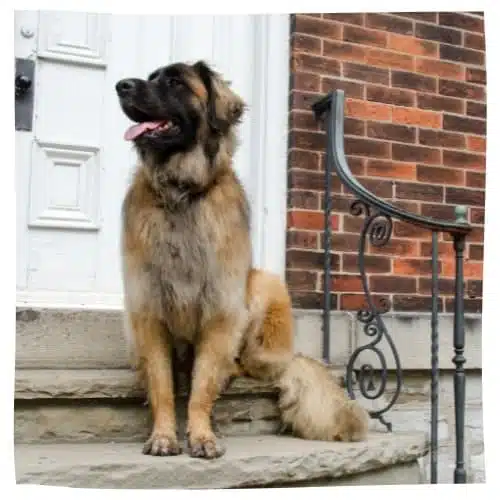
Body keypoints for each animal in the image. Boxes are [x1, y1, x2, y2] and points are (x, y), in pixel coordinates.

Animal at [115, 58, 370, 458]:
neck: (181, 192)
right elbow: (162, 385)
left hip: (263, 287)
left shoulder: (220, 312)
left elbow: (201, 387)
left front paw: (202, 436)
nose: (121, 86)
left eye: (175, 82)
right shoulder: (147, 311)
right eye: (151, 77)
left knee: (241, 365)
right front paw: (163, 436)